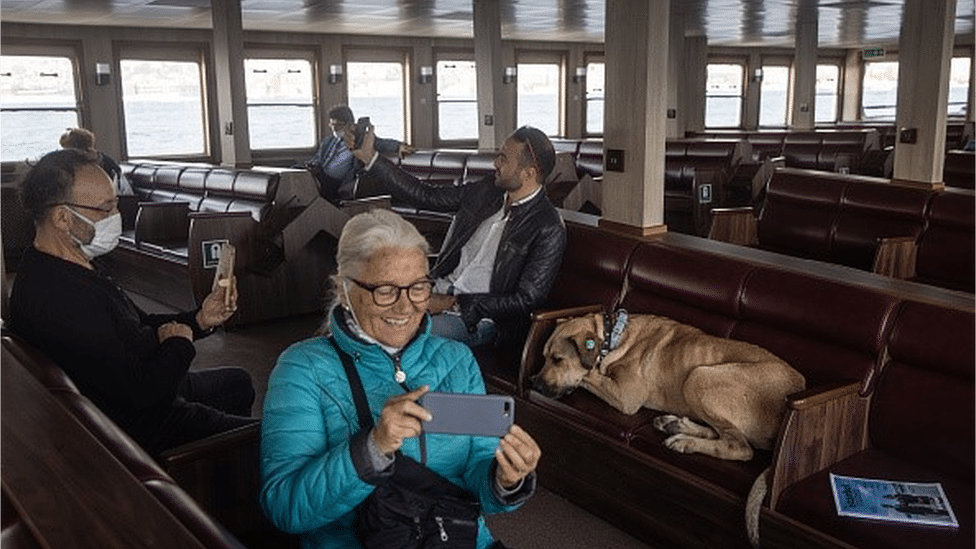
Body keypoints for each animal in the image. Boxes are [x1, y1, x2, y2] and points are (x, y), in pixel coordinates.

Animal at [536, 310, 804, 460]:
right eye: (543, 357)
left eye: (557, 359)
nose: (534, 384)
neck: (612, 336)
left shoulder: (626, 396)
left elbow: (587, 375)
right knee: (725, 433)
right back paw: (676, 425)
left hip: (699, 377)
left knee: (740, 447)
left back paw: (686, 442)